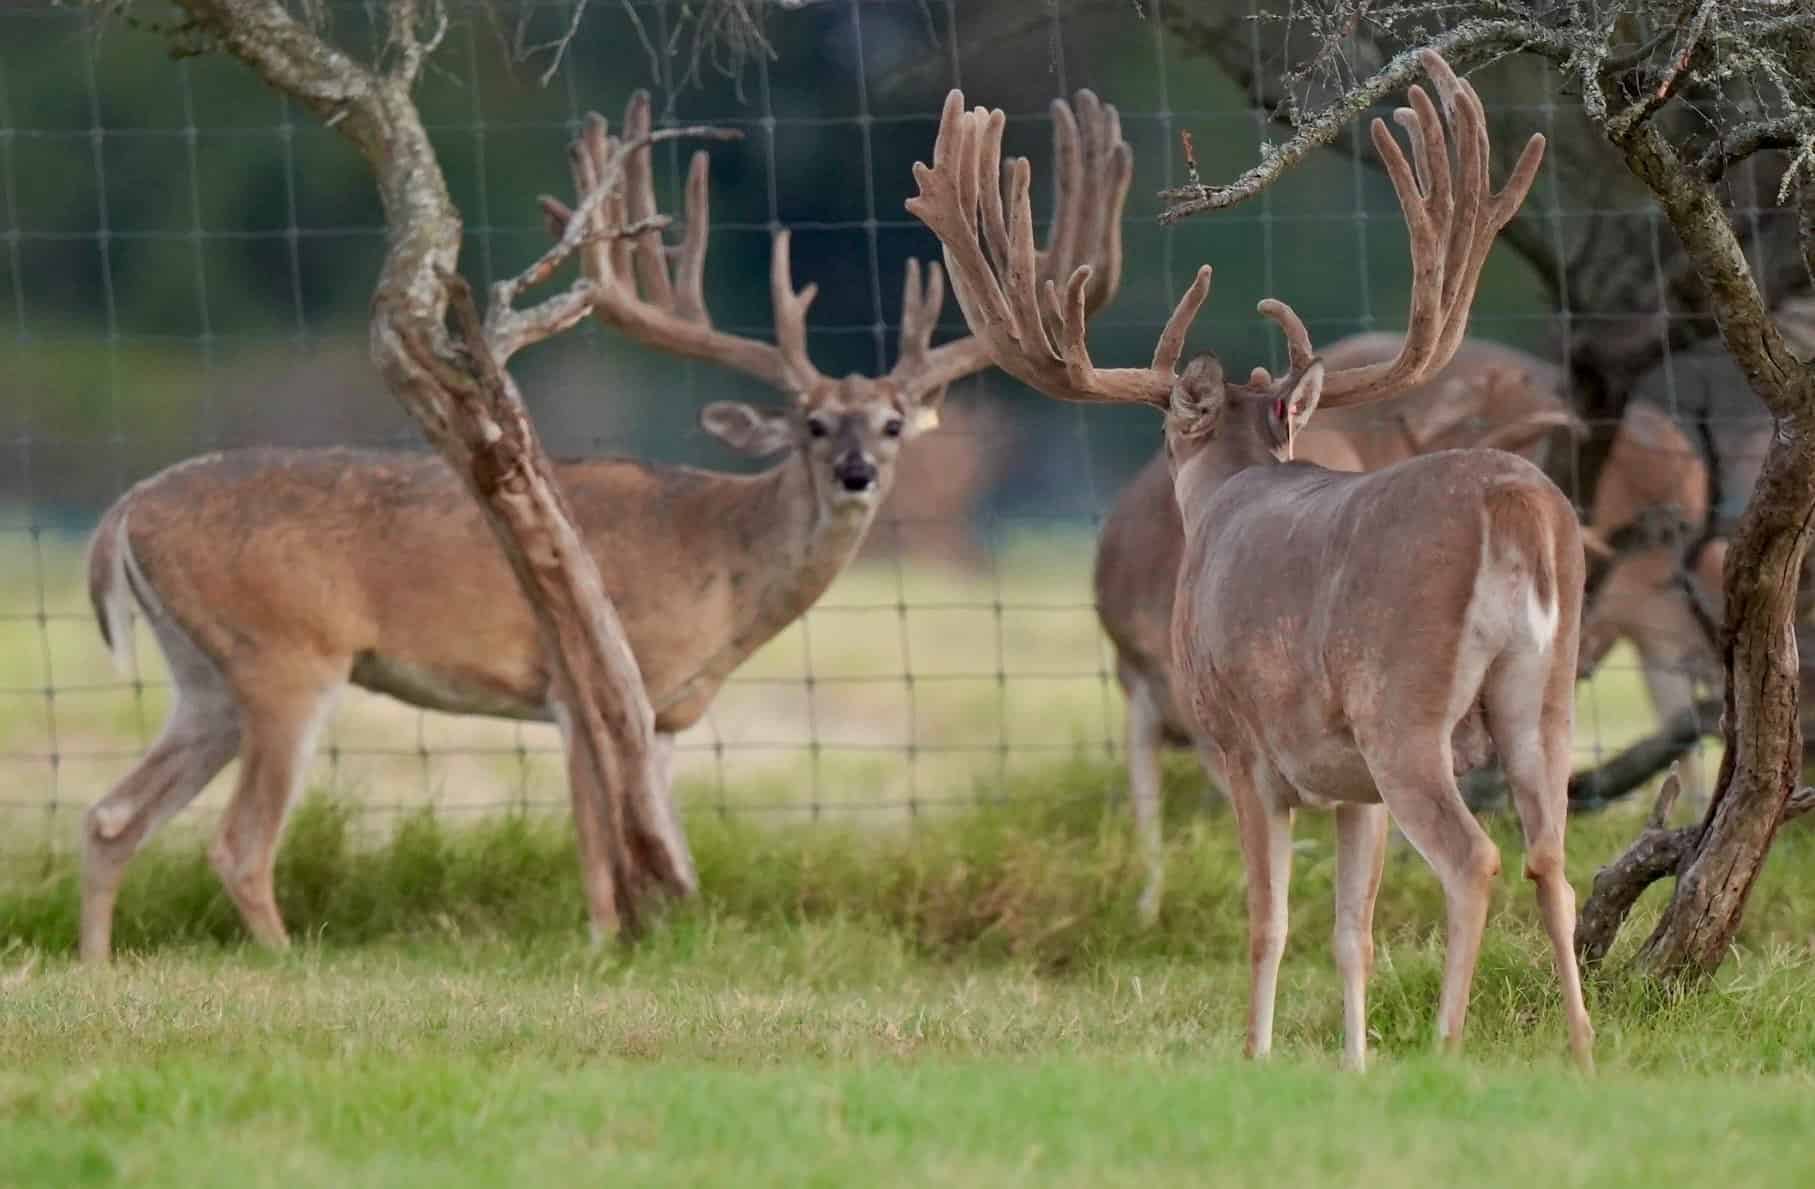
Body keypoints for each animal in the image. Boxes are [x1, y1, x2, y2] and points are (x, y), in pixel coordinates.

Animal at [75, 88, 1127, 963]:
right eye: (813, 424)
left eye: (895, 423)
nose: (857, 474)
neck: (724, 563)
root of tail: (120, 512)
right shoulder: (584, 683)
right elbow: (596, 846)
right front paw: (596, 945)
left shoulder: (662, 716)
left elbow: (652, 836)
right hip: (287, 656)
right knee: (236, 841)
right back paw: (287, 962)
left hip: (205, 675)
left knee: (111, 815)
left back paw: (96, 966)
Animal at [1100, 339, 1583, 925]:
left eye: (1164, 425)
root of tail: (1512, 502)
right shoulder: (1355, 784)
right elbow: (1353, 923)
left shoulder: (1239, 745)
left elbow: (1268, 914)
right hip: (1545, 697)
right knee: (1551, 859)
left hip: (1399, 716)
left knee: (1470, 858)